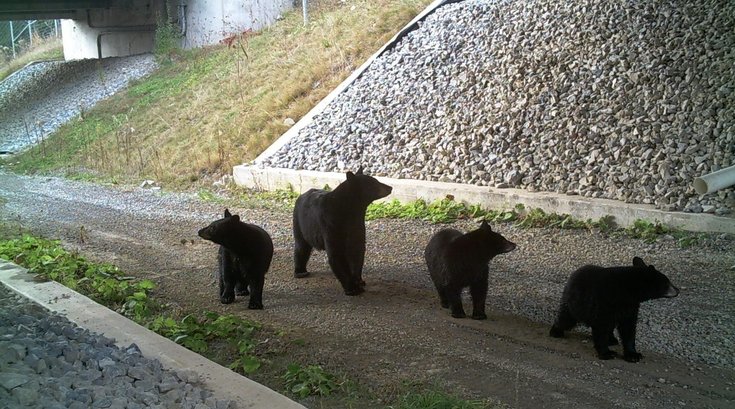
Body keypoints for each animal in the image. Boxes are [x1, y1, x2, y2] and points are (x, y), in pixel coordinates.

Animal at [292, 167, 392, 295]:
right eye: (374, 183)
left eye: (376, 180)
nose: (390, 187)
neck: (350, 210)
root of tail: (302, 195)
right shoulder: (331, 224)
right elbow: (336, 255)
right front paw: (351, 288)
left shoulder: (357, 226)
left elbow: (357, 252)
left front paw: (358, 281)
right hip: (300, 224)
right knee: (301, 247)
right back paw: (300, 272)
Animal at [549, 256, 679, 362]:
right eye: (668, 283)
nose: (678, 290)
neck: (628, 291)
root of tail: (574, 273)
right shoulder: (604, 301)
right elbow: (601, 326)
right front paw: (606, 353)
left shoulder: (631, 306)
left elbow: (629, 328)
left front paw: (633, 354)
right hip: (574, 303)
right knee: (566, 318)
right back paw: (556, 331)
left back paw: (612, 339)